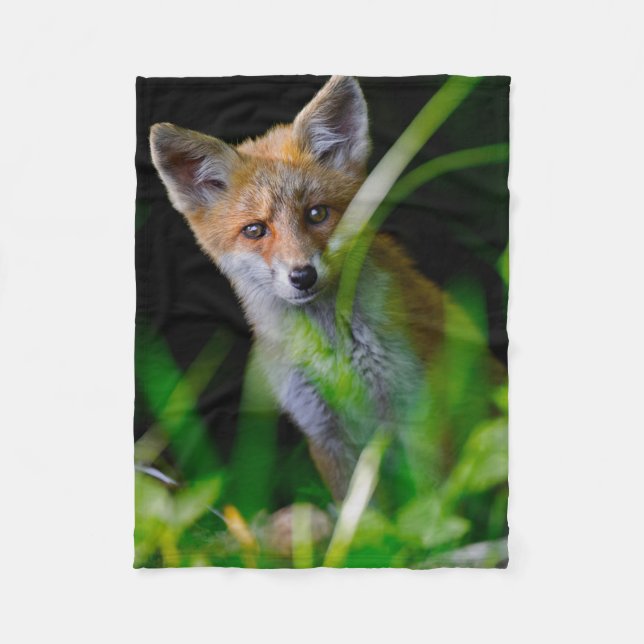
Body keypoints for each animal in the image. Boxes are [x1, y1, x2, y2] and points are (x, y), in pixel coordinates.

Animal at [149, 76, 454, 500]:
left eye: (317, 213)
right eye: (255, 230)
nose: (303, 276)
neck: (334, 352)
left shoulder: (416, 409)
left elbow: (430, 502)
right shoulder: (322, 430)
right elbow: (360, 511)